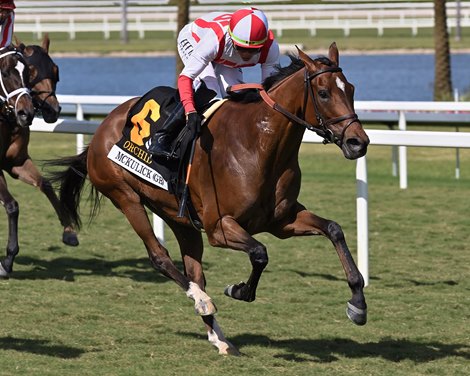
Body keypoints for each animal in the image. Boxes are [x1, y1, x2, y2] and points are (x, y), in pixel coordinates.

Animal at [0, 36, 78, 278]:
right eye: (5, 72)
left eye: (55, 70)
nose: (53, 110)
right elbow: (12, 206)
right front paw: (7, 261)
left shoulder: (15, 163)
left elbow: (45, 184)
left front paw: (69, 231)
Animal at [48, 44, 370, 356]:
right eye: (324, 93)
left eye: (352, 89)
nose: (358, 142)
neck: (258, 145)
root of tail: (101, 129)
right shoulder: (219, 227)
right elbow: (260, 253)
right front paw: (239, 290)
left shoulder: (282, 220)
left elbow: (334, 229)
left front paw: (358, 304)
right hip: (125, 197)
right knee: (160, 257)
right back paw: (202, 301)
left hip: (180, 218)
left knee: (194, 271)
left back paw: (220, 338)